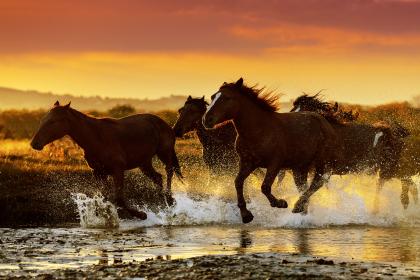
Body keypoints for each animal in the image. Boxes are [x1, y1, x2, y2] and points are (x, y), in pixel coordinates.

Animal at [29, 101, 180, 220]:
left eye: (52, 121)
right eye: (43, 120)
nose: (34, 143)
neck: (96, 138)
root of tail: (165, 124)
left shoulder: (117, 170)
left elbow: (119, 199)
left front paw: (142, 215)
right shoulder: (98, 172)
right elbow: (104, 198)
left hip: (164, 152)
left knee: (169, 171)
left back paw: (170, 200)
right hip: (144, 163)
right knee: (158, 178)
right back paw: (165, 204)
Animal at [203, 77, 342, 222]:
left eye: (227, 98)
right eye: (213, 96)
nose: (206, 119)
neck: (259, 131)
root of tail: (325, 121)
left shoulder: (275, 164)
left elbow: (265, 187)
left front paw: (281, 203)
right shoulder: (247, 163)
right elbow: (238, 182)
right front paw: (246, 215)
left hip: (321, 162)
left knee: (317, 183)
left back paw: (297, 206)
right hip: (300, 167)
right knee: (303, 187)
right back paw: (302, 211)